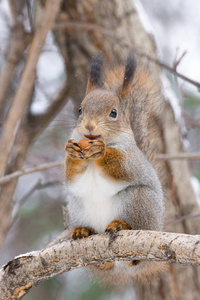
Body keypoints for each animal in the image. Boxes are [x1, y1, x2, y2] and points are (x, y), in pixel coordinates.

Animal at [65, 54, 165, 286]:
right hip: (77, 206)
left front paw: (100, 151)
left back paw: (122, 226)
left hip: (139, 201)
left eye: (113, 113)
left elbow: (121, 168)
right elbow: (70, 176)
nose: (89, 126)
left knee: (136, 254)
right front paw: (71, 153)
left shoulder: (131, 158)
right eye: (80, 110)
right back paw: (84, 232)